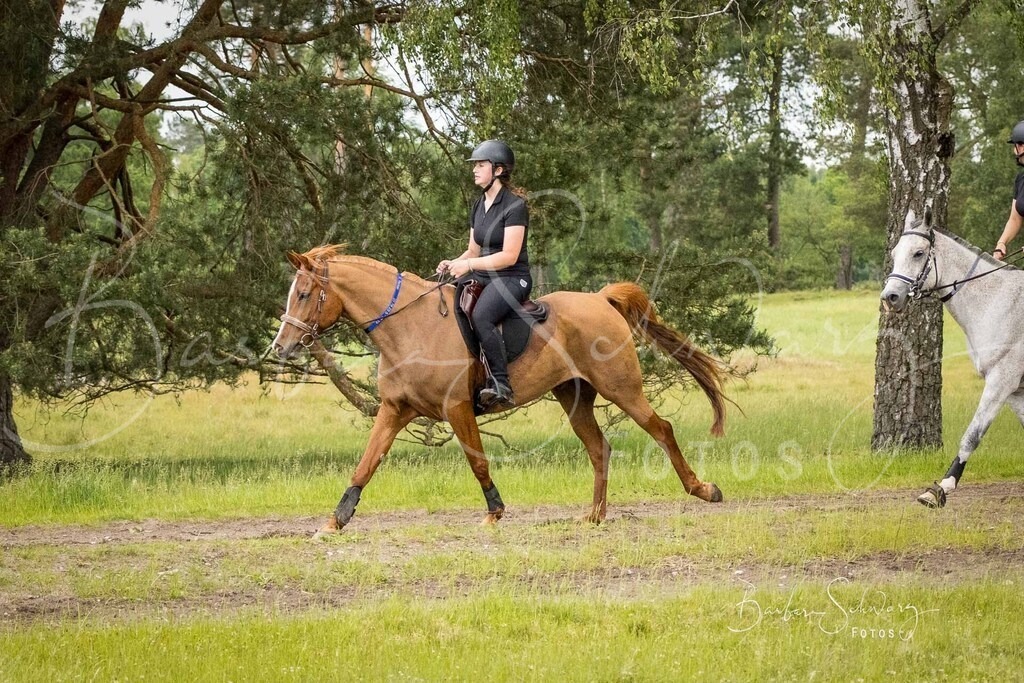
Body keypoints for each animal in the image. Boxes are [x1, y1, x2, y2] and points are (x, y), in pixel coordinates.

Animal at [272, 245, 727, 536]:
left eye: (305, 294)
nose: (281, 347)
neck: (409, 328)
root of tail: (600, 299)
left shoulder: (457, 408)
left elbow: (477, 462)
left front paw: (494, 512)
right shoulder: (395, 409)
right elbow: (366, 464)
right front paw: (336, 520)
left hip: (622, 388)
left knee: (662, 429)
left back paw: (704, 490)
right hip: (574, 396)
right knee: (599, 448)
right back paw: (594, 516)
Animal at [881, 210, 1023, 507]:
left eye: (919, 253)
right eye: (895, 252)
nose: (890, 297)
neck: (996, 302)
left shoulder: (1001, 381)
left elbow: (972, 436)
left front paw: (942, 487)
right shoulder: (1016, 391)